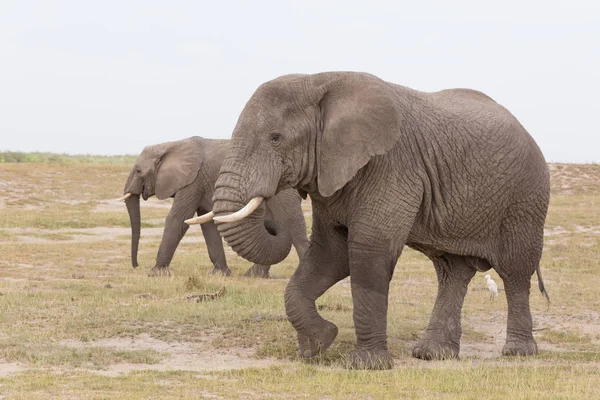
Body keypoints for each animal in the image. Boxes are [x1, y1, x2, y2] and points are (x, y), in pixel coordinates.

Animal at [120, 137, 310, 278]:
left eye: (138, 171)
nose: (136, 266)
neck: (170, 145)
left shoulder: (192, 181)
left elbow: (178, 219)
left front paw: (155, 273)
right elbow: (207, 226)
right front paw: (220, 274)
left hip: (284, 194)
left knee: (293, 228)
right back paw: (254, 275)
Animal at [190, 72, 552, 368]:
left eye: (275, 137)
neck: (318, 81)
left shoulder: (391, 164)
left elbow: (368, 251)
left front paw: (366, 365)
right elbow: (330, 253)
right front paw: (319, 344)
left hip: (525, 197)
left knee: (515, 270)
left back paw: (517, 352)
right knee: (451, 271)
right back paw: (432, 354)